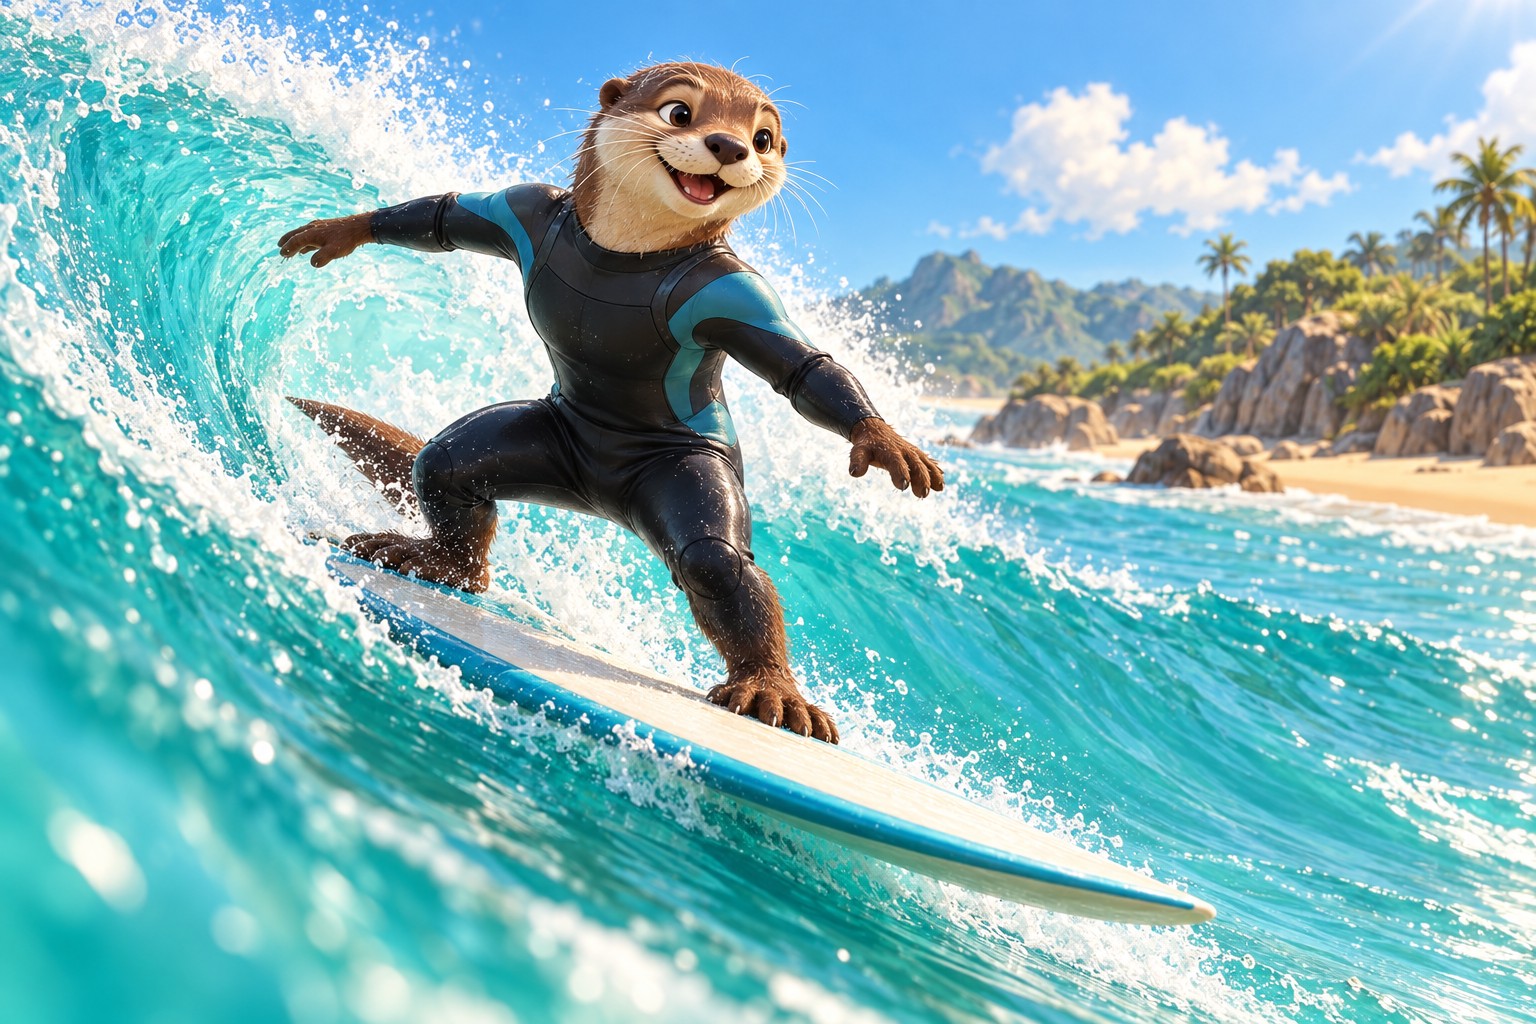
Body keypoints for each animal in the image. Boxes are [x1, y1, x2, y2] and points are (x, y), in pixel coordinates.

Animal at [279, 62, 943, 744]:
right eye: (680, 112)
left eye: (763, 140)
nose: (730, 148)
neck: (627, 250)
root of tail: (603, 497)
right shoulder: (527, 206)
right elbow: (448, 216)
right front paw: (342, 230)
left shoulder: (730, 288)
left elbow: (803, 367)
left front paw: (882, 438)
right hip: (547, 443)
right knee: (446, 463)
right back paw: (436, 562)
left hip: (685, 473)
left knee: (715, 560)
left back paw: (770, 690)